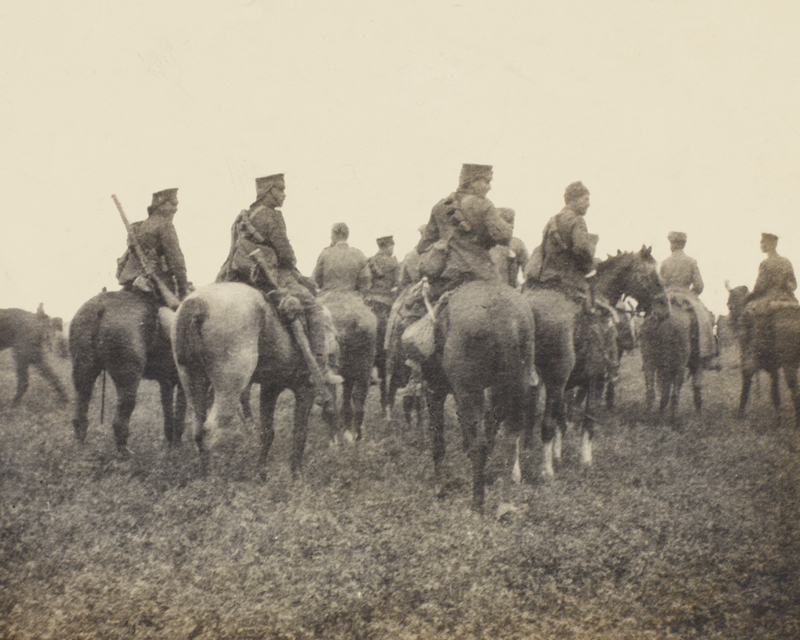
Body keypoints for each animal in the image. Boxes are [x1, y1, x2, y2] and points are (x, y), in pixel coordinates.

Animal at [70, 290, 186, 456]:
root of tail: (101, 307)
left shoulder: (167, 381)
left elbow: (169, 410)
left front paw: (171, 442)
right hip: (128, 377)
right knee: (124, 410)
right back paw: (124, 451)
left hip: (84, 368)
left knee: (82, 399)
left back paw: (80, 444)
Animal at [173, 282, 318, 478]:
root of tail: (197, 301)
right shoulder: (306, 389)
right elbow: (300, 433)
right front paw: (297, 475)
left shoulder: (270, 388)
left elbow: (267, 432)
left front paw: (261, 474)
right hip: (229, 389)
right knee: (209, 430)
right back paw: (211, 479)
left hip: (192, 382)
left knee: (198, 429)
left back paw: (203, 476)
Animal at [422, 278, 536, 512]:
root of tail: (507, 319)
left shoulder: (435, 390)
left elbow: (437, 440)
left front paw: (439, 487)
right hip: (514, 388)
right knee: (508, 437)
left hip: (470, 391)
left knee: (480, 446)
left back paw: (476, 505)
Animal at [524, 248, 668, 478]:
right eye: (653, 275)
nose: (666, 310)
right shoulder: (595, 379)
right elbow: (588, 421)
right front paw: (585, 462)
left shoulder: (572, 384)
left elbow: (563, 419)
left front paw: (558, 454)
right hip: (555, 381)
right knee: (545, 424)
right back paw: (546, 471)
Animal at [724, 284, 800, 424]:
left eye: (729, 304)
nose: (730, 322)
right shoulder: (773, 367)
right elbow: (775, 392)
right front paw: (778, 418)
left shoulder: (747, 359)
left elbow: (745, 386)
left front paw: (740, 414)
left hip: (789, 365)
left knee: (795, 391)